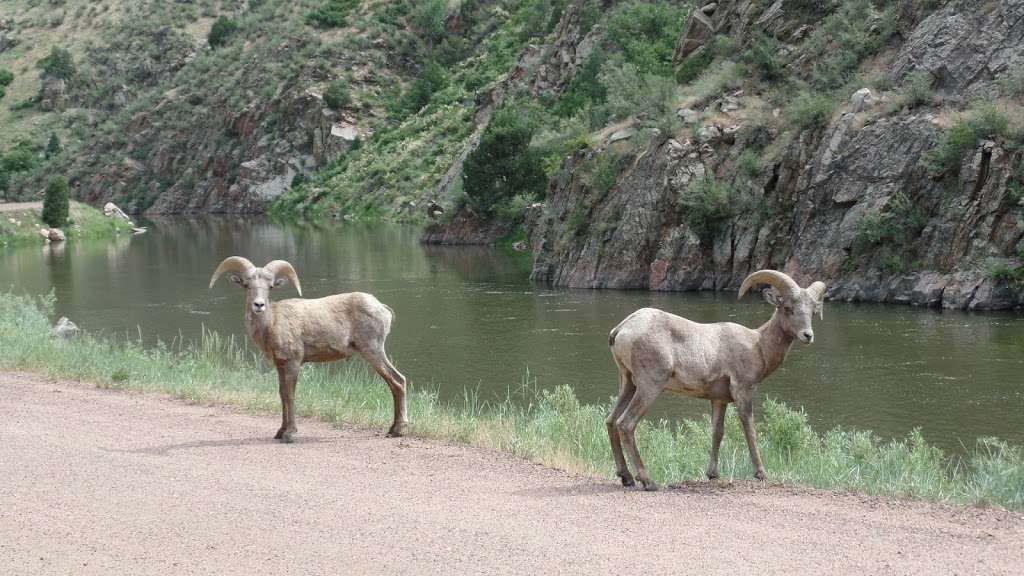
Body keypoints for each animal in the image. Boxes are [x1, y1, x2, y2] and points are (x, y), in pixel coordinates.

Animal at [208, 258, 407, 440]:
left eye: (270, 287)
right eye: (246, 285)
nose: (259, 305)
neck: (272, 323)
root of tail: (382, 308)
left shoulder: (293, 363)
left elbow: (290, 395)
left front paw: (289, 433)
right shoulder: (280, 365)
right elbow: (282, 394)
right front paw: (279, 432)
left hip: (373, 351)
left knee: (397, 382)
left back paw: (398, 430)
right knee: (397, 382)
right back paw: (392, 429)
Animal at [606, 268, 823, 487]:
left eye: (813, 312)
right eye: (788, 308)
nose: (808, 335)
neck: (759, 345)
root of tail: (621, 329)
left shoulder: (719, 399)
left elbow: (717, 432)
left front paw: (713, 474)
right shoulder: (743, 391)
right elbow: (750, 430)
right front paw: (761, 473)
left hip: (628, 383)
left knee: (611, 421)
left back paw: (626, 477)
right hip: (650, 386)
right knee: (626, 424)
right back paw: (647, 481)